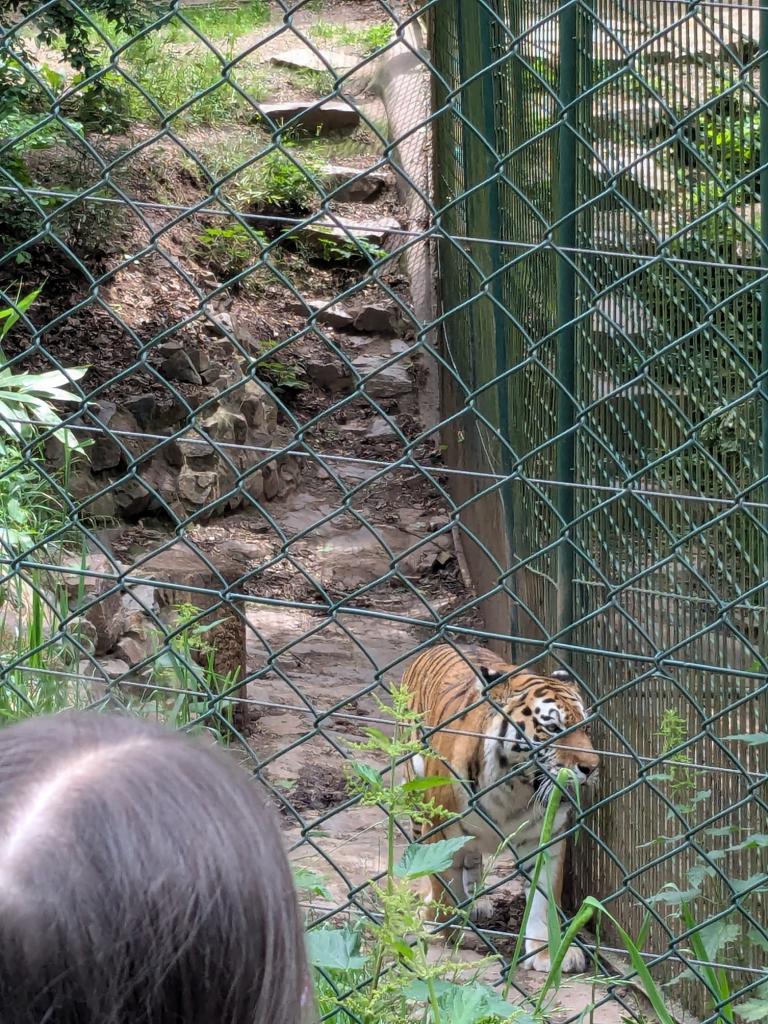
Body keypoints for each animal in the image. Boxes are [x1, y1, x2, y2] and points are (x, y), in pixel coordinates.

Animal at [402, 644, 599, 974]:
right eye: (553, 728)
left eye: (585, 728)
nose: (592, 767)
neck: (516, 788)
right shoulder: (439, 826)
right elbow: (442, 882)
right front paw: (439, 926)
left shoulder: (546, 838)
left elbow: (544, 898)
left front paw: (546, 951)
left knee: (470, 857)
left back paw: (475, 902)